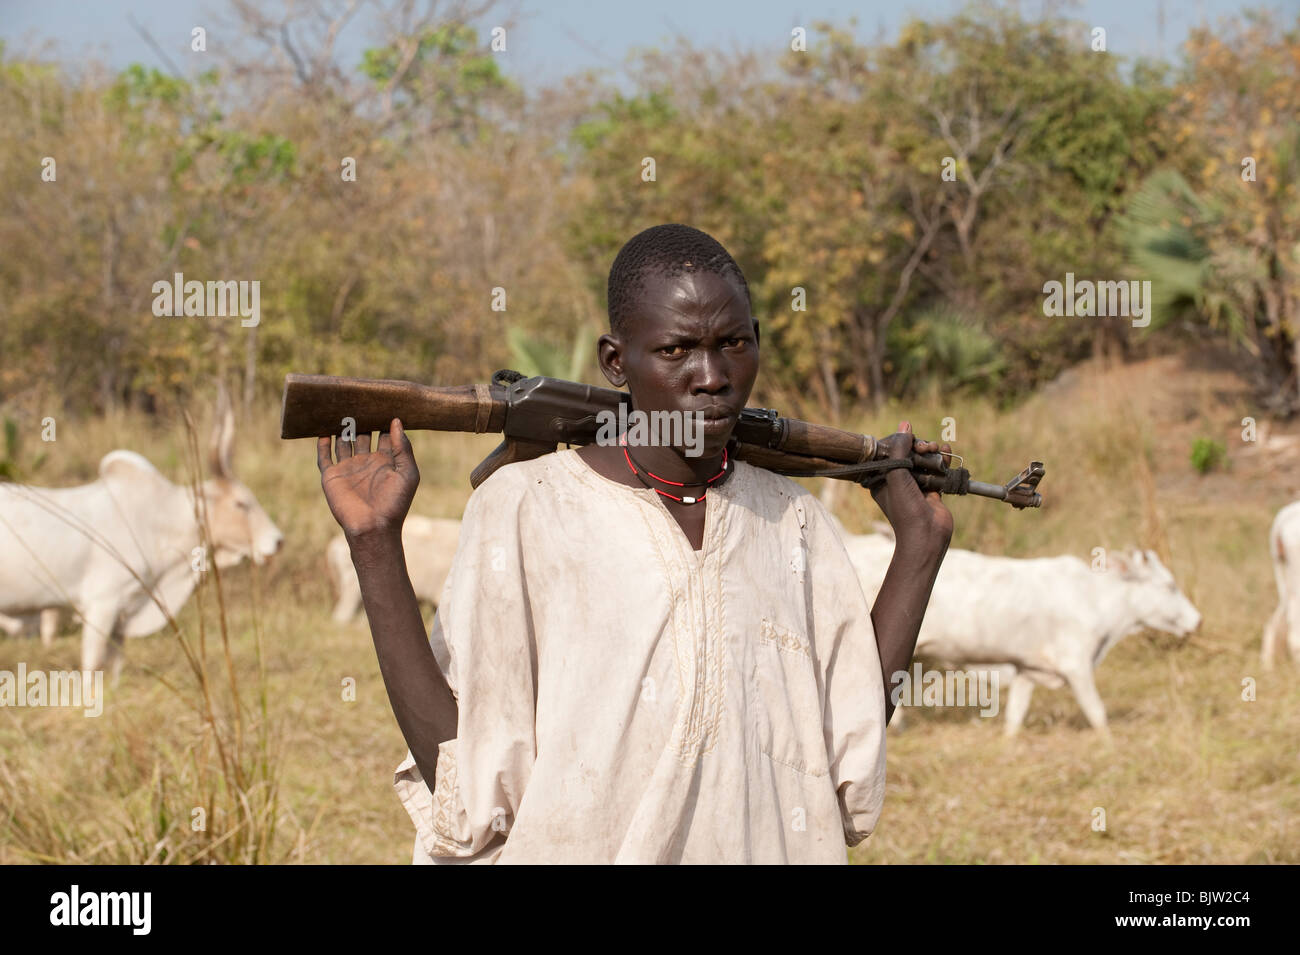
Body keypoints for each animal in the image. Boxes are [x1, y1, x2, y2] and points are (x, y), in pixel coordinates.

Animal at [0, 394, 282, 696]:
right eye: (241, 503)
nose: (277, 541)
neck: (161, 520)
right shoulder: (102, 604)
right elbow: (93, 664)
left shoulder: (123, 614)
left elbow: (115, 665)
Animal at [847, 537, 1201, 738]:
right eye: (1169, 586)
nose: (1197, 620)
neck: (1096, 598)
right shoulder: (1077, 665)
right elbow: (1097, 713)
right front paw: (1109, 743)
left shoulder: (1029, 669)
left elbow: (1015, 715)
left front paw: (1008, 741)